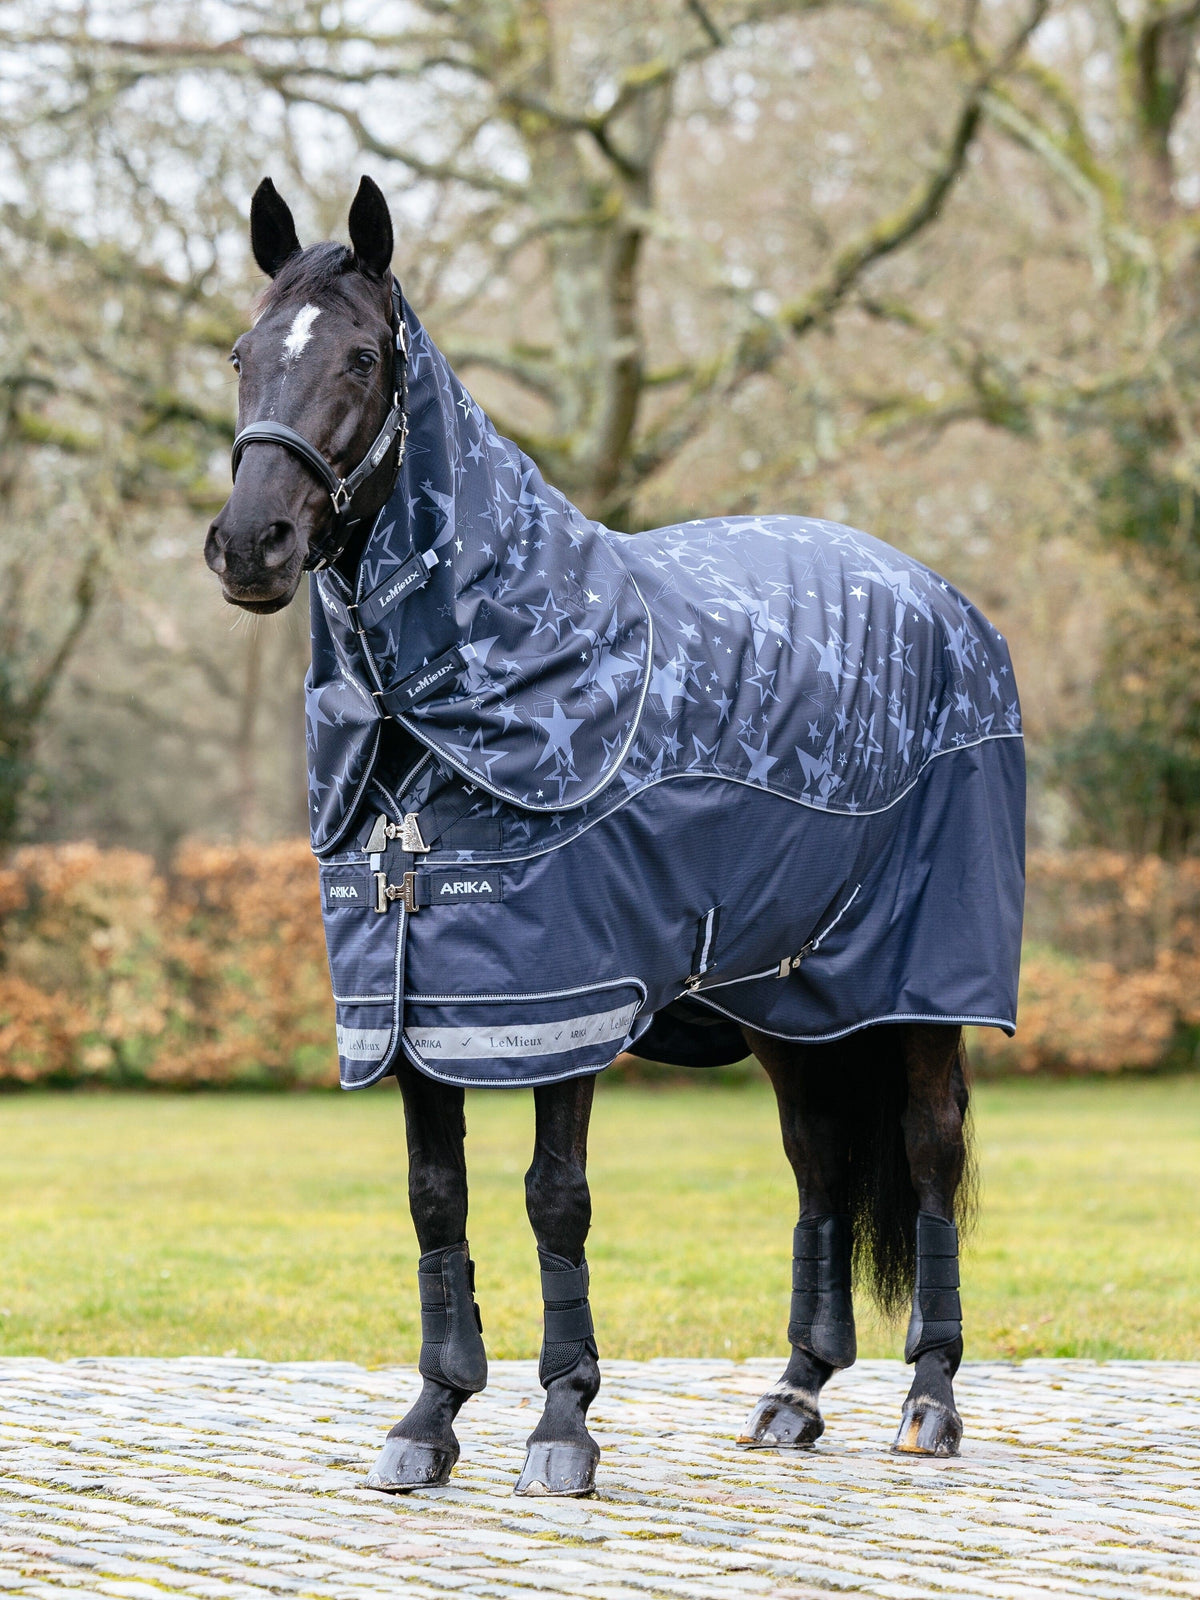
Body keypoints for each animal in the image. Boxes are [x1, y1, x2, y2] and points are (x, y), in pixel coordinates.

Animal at [204, 176, 1024, 1497]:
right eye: (243, 353)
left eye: (363, 357)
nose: (249, 545)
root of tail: (948, 611)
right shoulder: (414, 1004)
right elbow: (436, 1200)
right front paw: (430, 1415)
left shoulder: (560, 1003)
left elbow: (555, 1199)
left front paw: (560, 1424)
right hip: (791, 1000)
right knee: (818, 1161)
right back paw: (796, 1389)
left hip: (921, 988)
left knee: (929, 1152)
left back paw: (930, 1400)